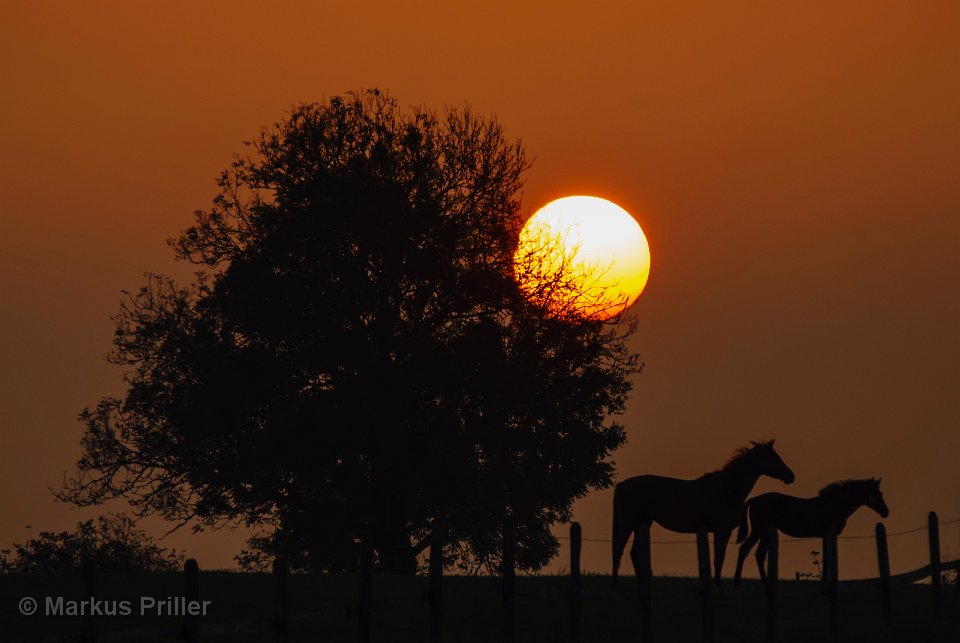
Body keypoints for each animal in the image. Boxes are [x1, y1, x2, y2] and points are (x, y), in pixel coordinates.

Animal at [616, 440, 796, 588]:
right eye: (774, 458)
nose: (791, 476)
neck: (727, 490)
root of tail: (623, 484)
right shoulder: (722, 531)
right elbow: (719, 559)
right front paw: (717, 585)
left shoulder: (719, 531)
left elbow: (718, 559)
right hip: (629, 522)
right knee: (620, 549)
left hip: (642, 523)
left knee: (633, 552)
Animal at [736, 476, 892, 588]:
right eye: (879, 493)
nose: (886, 512)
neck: (835, 505)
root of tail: (754, 499)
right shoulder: (827, 534)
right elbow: (826, 558)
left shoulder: (824, 536)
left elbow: (825, 558)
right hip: (759, 531)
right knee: (748, 551)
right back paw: (740, 581)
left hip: (763, 533)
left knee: (758, 554)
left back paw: (762, 582)